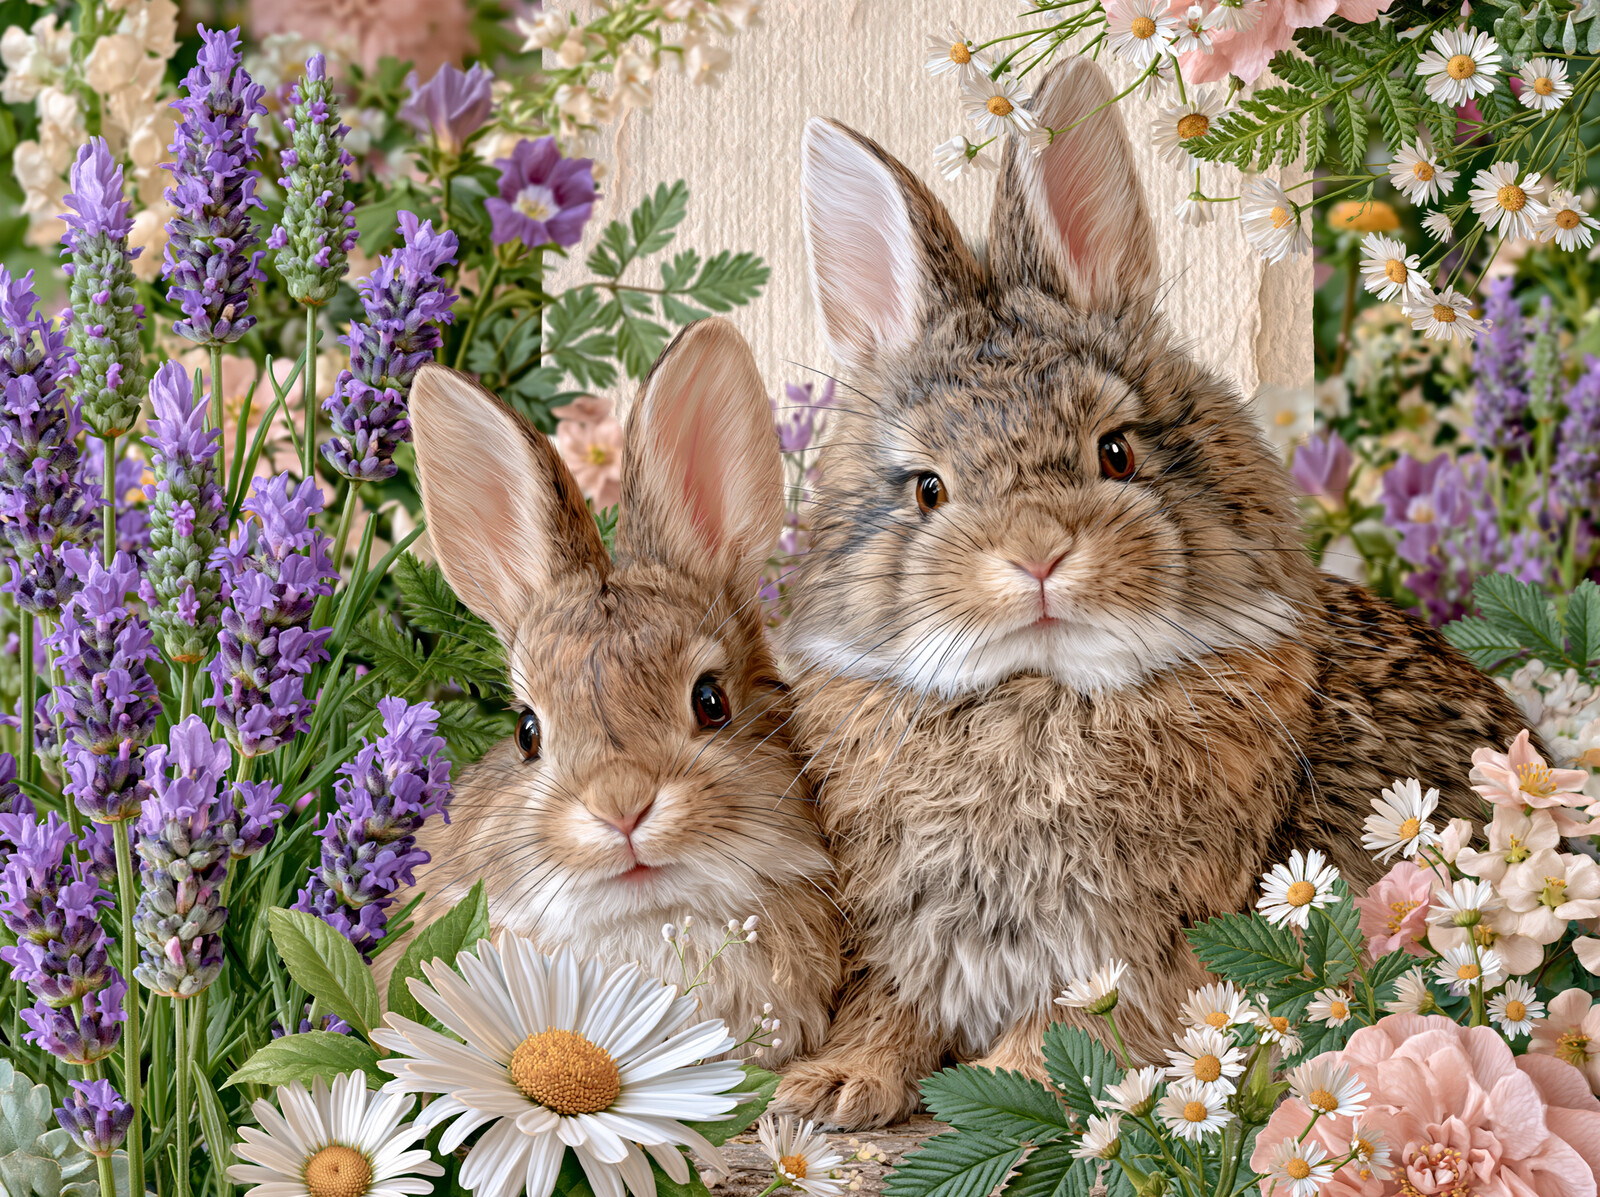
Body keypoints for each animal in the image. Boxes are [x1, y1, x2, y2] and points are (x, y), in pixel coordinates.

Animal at [769, 57, 1536, 1129]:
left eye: (1117, 451)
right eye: (927, 488)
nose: (1039, 556)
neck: (1036, 690)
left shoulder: (1140, 938)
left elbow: (1077, 1035)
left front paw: (1004, 1088)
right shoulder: (911, 931)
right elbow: (892, 1006)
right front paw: (831, 1085)